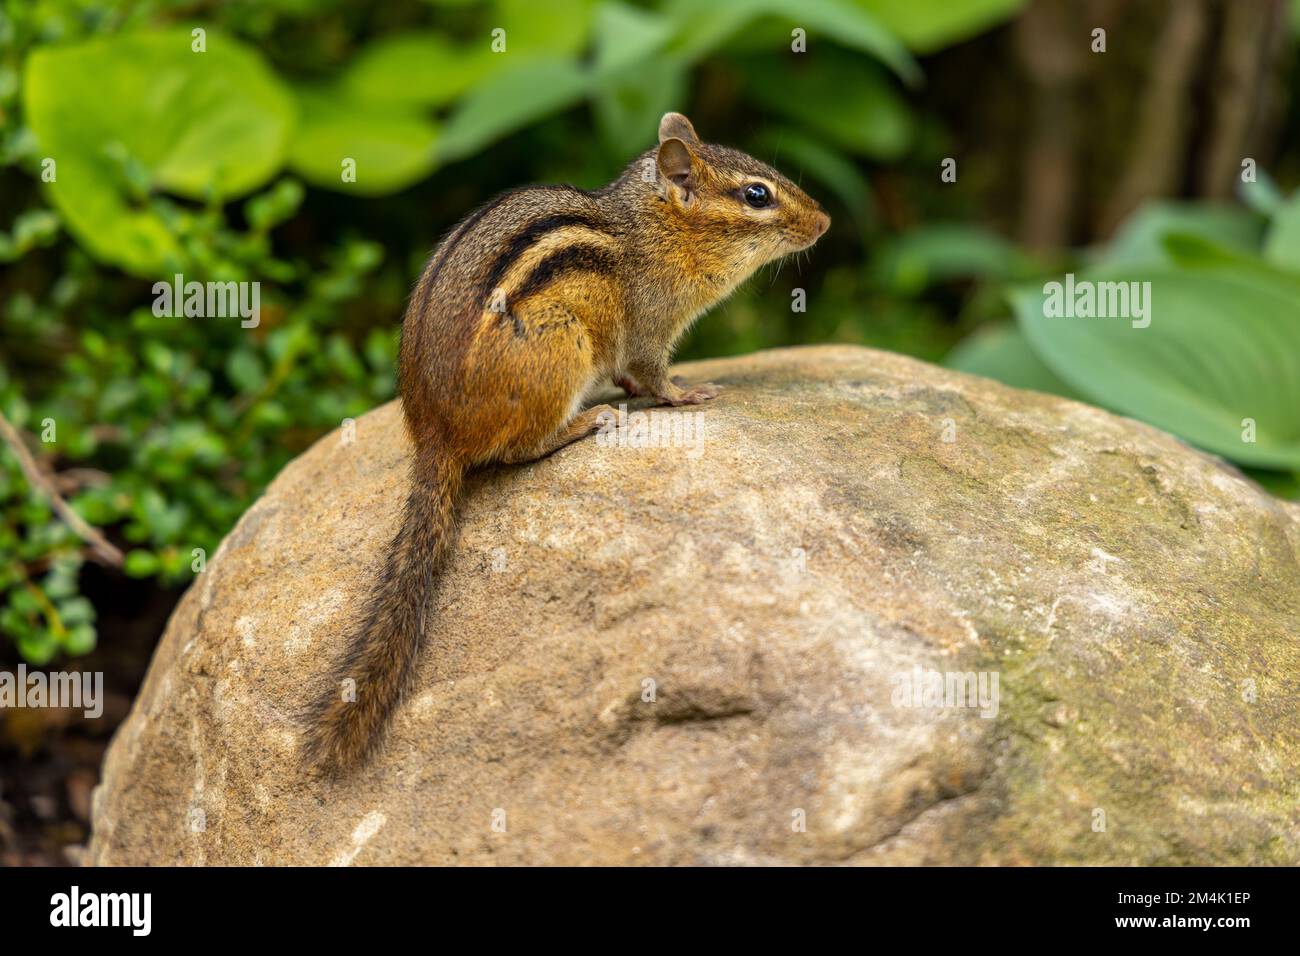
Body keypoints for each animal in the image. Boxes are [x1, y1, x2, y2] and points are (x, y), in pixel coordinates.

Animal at [302, 112, 829, 772]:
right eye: (757, 194)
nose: (825, 221)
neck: (653, 229)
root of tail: (434, 434)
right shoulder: (650, 322)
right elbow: (652, 372)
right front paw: (686, 394)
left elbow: (633, 375)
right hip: (561, 347)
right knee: (516, 450)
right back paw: (587, 422)